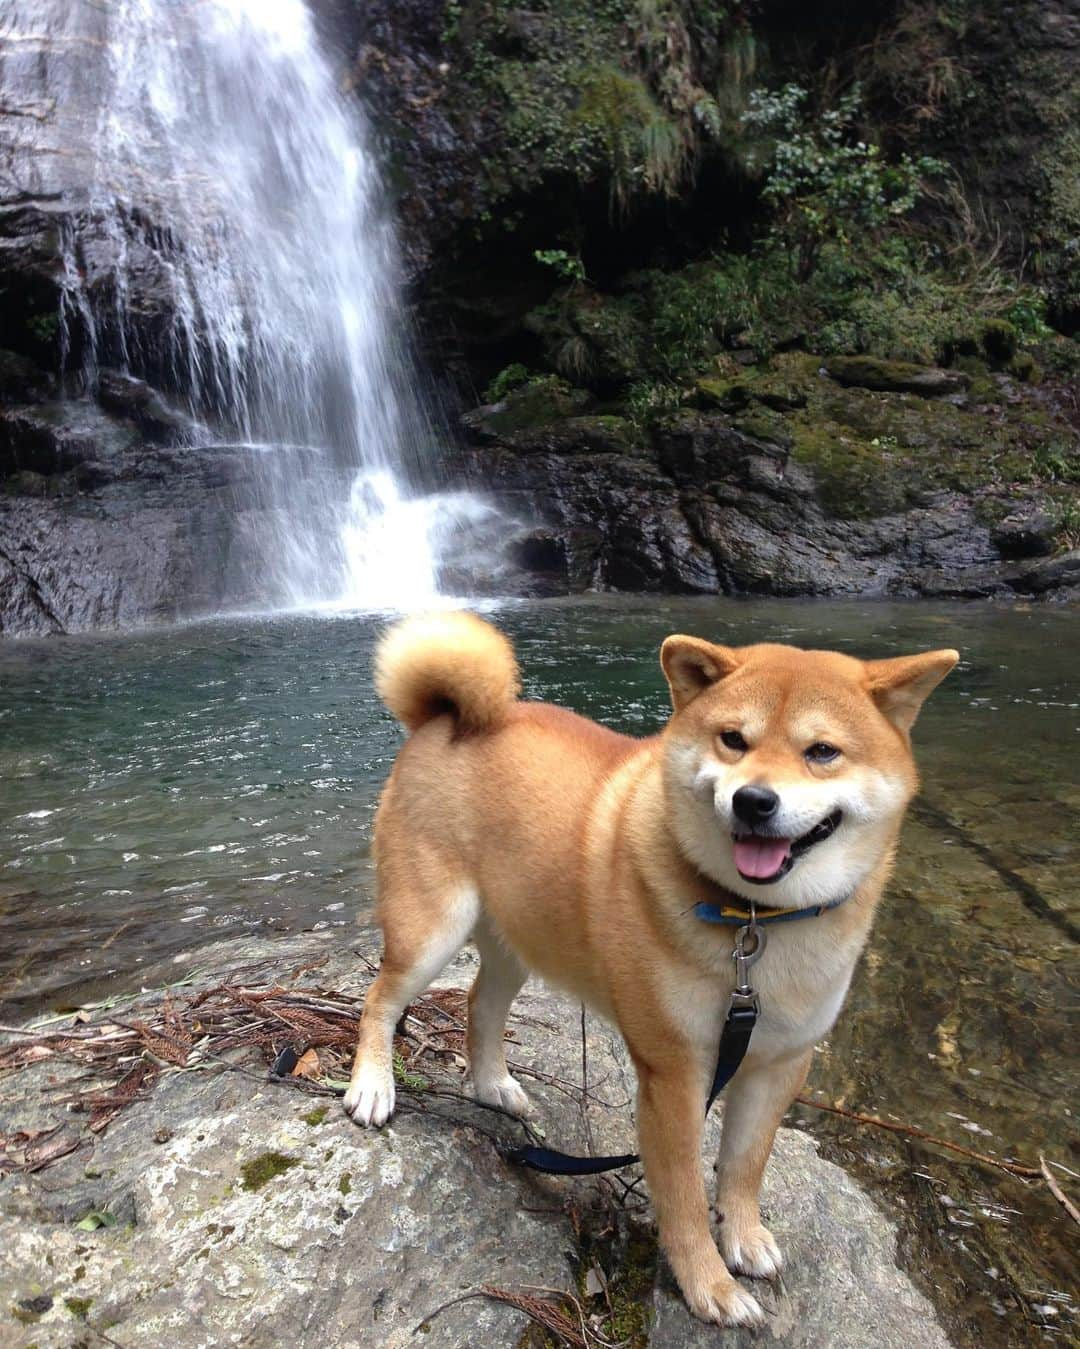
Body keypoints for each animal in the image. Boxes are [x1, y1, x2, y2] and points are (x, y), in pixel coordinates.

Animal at [343, 615, 954, 1327]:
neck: (756, 922)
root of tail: (442, 718)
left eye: (822, 751)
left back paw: (493, 1085)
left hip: (517, 941)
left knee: (480, 1004)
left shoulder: (779, 1063)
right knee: (381, 1000)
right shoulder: (676, 1075)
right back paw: (372, 1086)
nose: (754, 800)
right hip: (431, 929)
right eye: (733, 739)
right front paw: (709, 1286)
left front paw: (743, 1236)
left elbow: (745, 1165)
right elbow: (684, 1194)